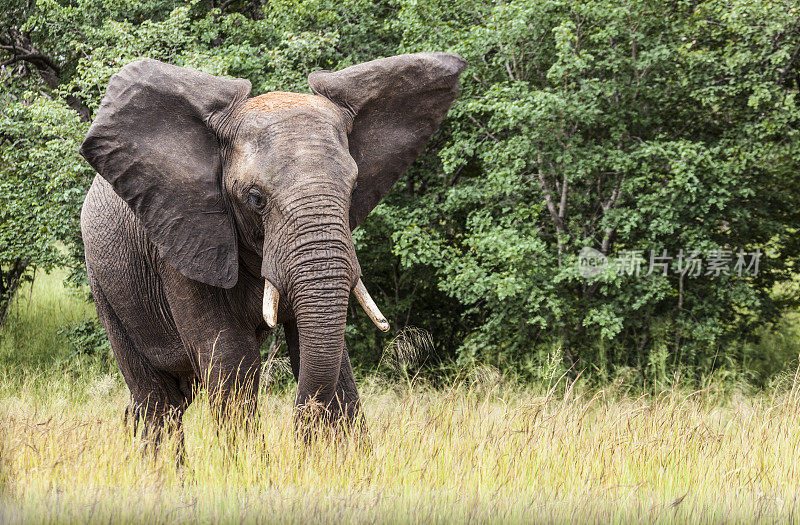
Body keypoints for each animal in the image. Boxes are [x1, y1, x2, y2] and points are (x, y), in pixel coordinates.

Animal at [78, 51, 466, 444]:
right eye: (255, 198)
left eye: (354, 188)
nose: (299, 434)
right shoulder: (183, 240)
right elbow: (231, 362)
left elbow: (332, 361)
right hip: (106, 288)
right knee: (156, 398)